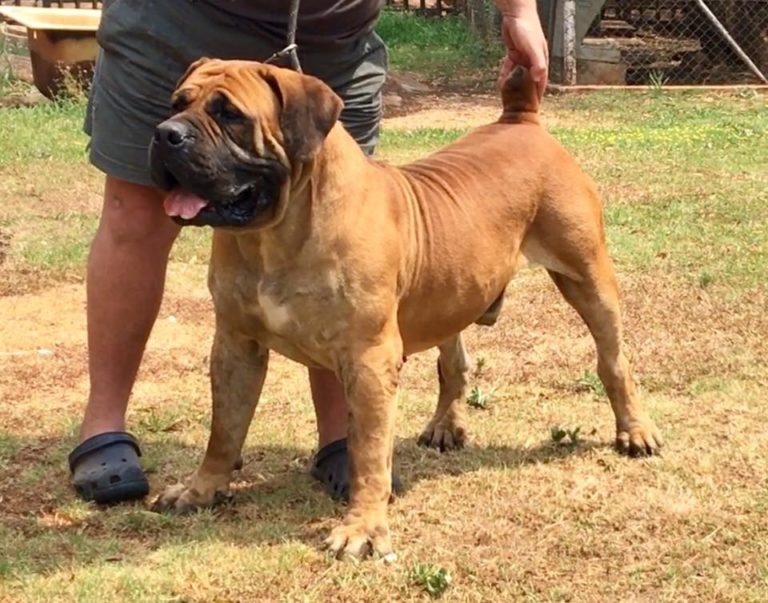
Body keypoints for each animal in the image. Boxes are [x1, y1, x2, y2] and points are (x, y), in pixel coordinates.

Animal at [148, 60, 660, 560]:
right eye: (177, 103)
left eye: (230, 114)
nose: (165, 134)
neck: (274, 234)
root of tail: (522, 120)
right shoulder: (236, 345)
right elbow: (224, 429)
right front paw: (199, 490)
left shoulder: (369, 359)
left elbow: (369, 450)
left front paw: (362, 528)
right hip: (450, 290)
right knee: (454, 362)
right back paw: (444, 426)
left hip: (589, 278)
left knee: (614, 360)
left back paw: (635, 432)